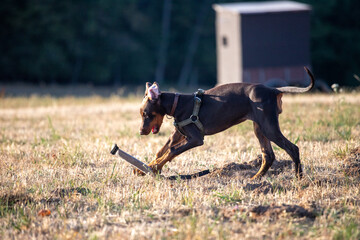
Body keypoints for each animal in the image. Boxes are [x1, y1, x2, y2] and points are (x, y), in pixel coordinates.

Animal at [138, 66, 316, 179]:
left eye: (146, 114)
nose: (140, 132)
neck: (177, 103)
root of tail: (273, 90)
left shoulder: (196, 139)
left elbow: (172, 151)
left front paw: (153, 168)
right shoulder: (179, 134)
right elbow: (162, 150)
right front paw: (146, 168)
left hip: (269, 127)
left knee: (292, 148)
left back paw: (298, 178)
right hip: (260, 128)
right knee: (268, 155)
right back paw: (255, 179)